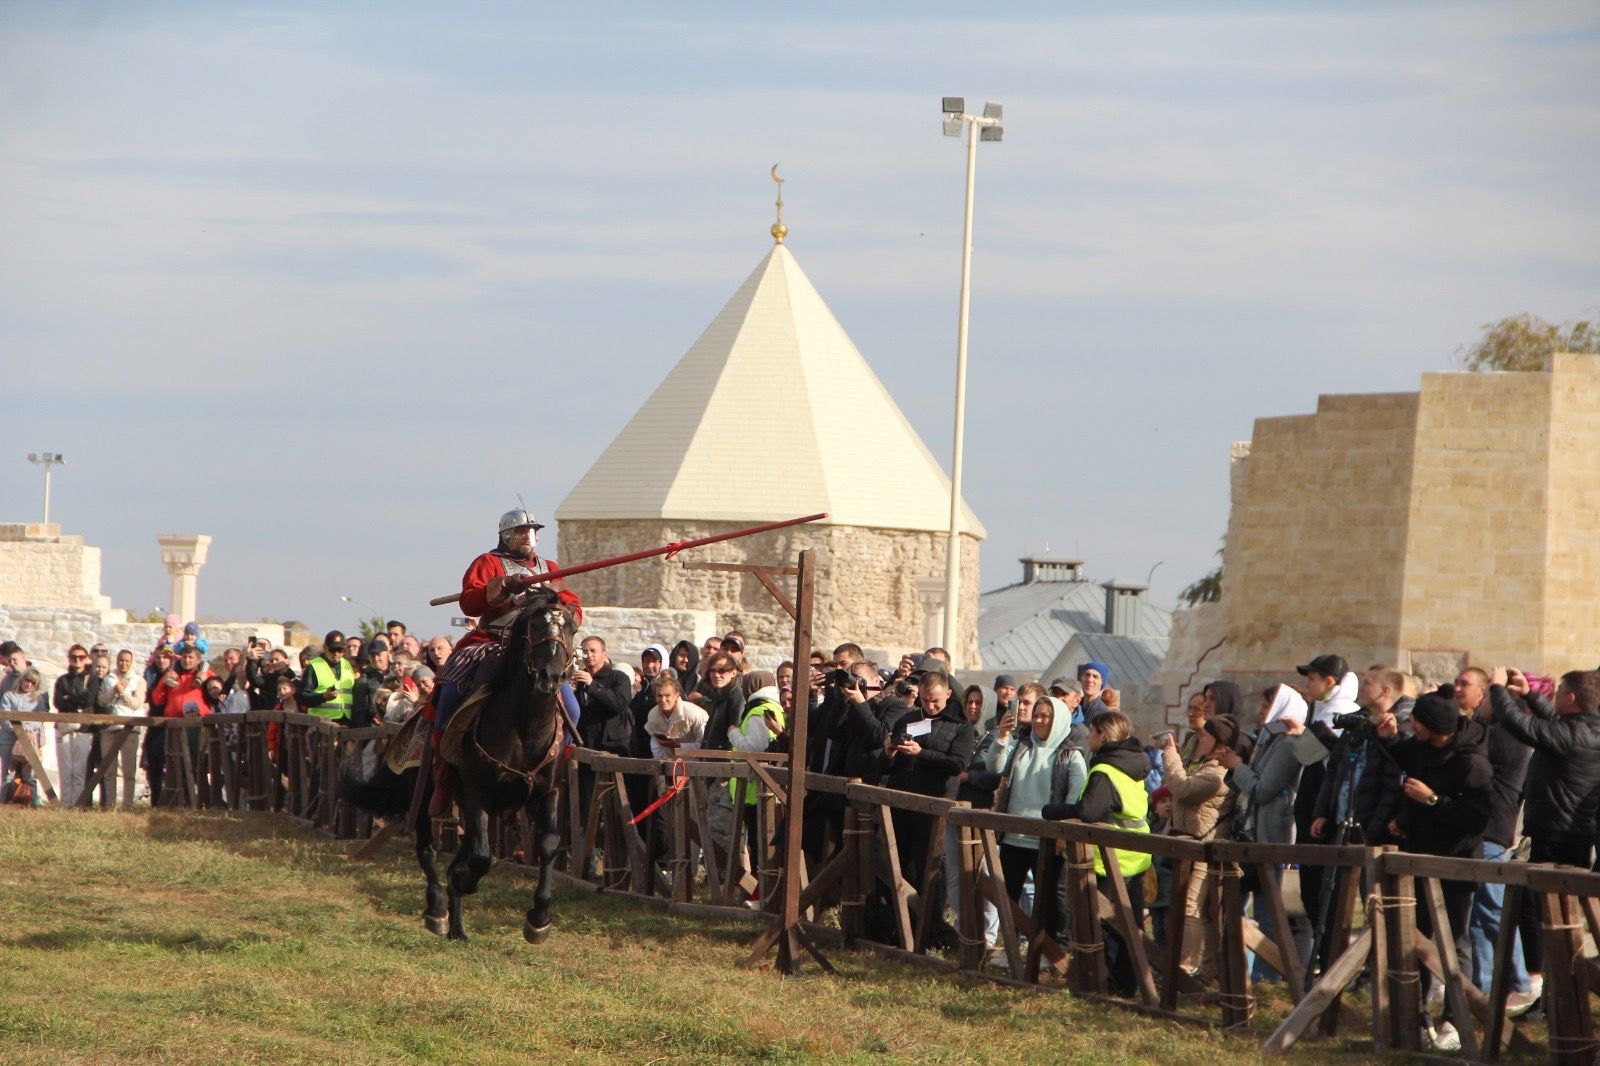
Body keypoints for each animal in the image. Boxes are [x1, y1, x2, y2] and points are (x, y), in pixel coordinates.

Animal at [344, 592, 576, 941]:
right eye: (535, 626)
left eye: (572, 628)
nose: (550, 676)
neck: (524, 727)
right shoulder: (476, 793)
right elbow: (480, 857)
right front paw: (462, 883)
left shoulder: (548, 793)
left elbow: (547, 845)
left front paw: (538, 919)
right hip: (426, 797)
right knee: (428, 850)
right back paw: (438, 912)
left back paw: (457, 927)